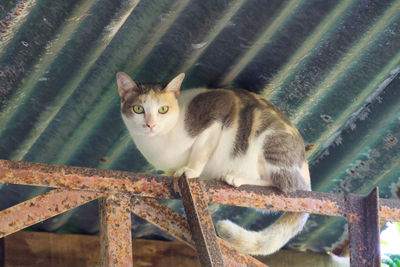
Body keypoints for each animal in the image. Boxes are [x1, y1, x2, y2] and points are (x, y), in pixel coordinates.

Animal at [117, 72, 310, 256]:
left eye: (163, 109)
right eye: (138, 109)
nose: (150, 124)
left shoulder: (218, 111)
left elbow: (200, 152)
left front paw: (190, 170)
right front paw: (170, 175)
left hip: (270, 142)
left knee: (286, 185)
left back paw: (237, 178)